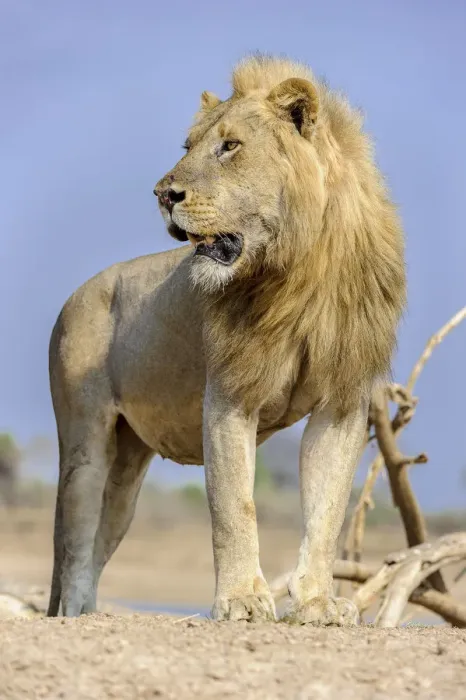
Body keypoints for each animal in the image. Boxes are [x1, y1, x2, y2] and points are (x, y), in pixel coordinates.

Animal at [47, 54, 406, 624]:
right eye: (187, 145)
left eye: (230, 146)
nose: (163, 194)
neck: (300, 272)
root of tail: (73, 296)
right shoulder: (230, 393)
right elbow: (235, 502)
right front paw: (241, 600)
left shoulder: (343, 402)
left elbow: (326, 510)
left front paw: (318, 602)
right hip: (85, 444)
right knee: (74, 550)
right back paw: (77, 617)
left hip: (127, 470)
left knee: (103, 536)